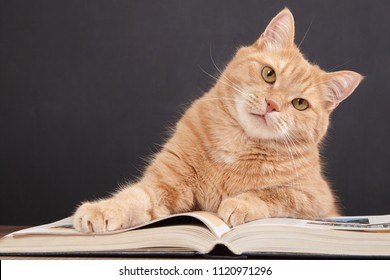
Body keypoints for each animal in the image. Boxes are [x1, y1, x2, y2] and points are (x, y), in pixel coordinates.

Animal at [73, 8, 362, 232]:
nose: (272, 105)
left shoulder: (316, 199)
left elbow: (276, 195)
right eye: (269, 74)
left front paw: (240, 203)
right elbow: (133, 197)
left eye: (300, 104)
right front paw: (101, 210)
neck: (239, 145)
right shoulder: (164, 184)